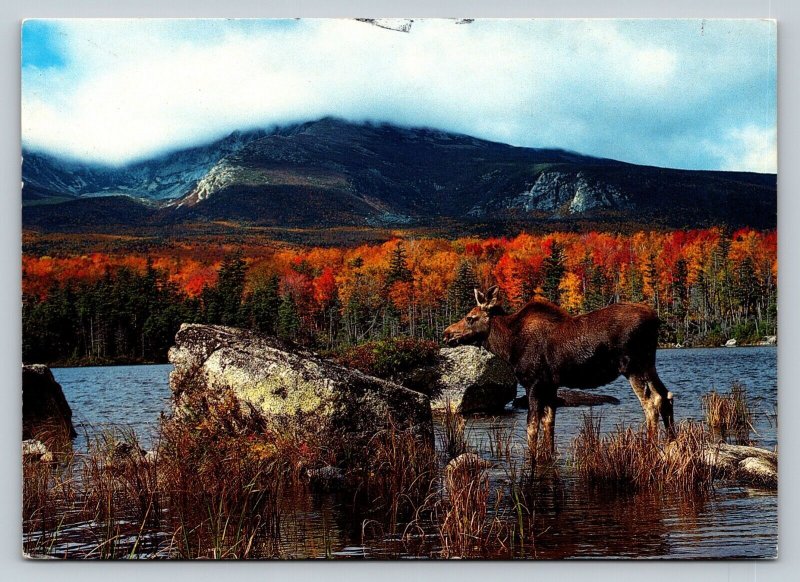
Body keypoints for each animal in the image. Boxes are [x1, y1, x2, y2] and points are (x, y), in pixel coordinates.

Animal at [444, 288, 676, 460]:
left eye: (470, 318)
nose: (447, 334)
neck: (509, 346)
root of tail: (656, 319)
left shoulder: (534, 382)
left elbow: (532, 427)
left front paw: (532, 458)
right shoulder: (551, 385)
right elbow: (549, 425)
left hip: (633, 366)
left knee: (651, 403)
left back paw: (649, 447)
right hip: (649, 365)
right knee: (666, 396)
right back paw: (671, 441)